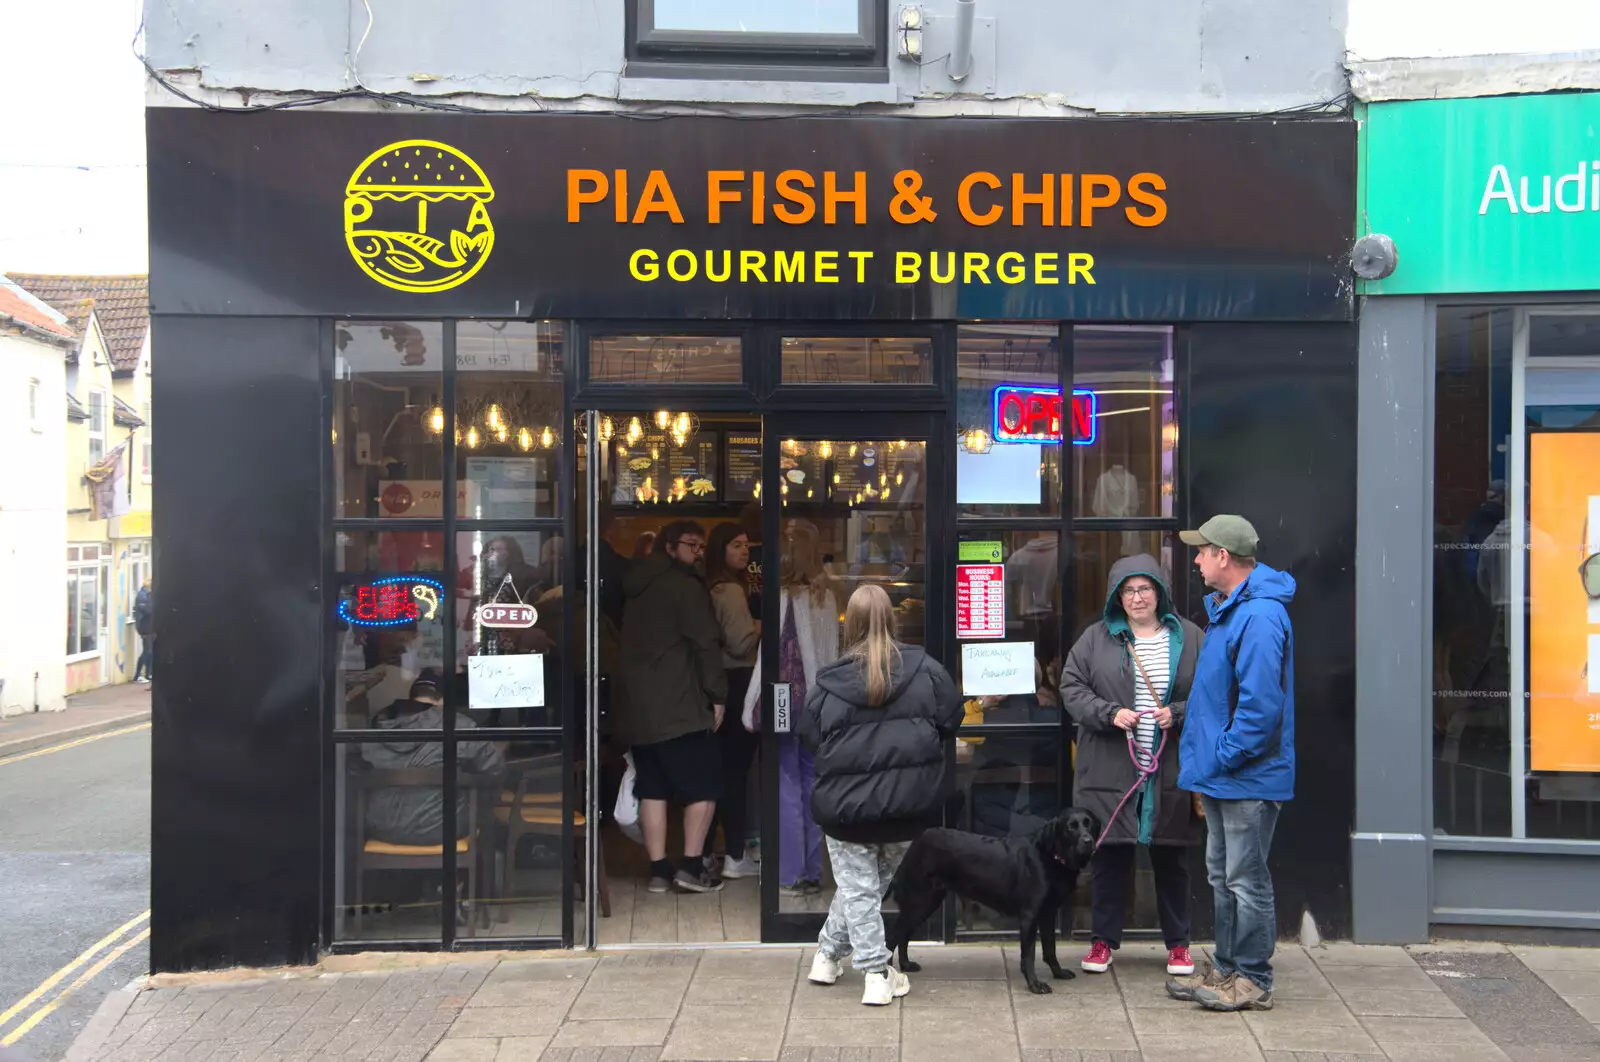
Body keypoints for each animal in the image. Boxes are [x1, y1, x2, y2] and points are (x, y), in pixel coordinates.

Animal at [889, 809, 1100, 991]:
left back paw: (905, 965)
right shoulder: (1029, 916)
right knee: (894, 934)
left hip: (927, 902)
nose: (1088, 841)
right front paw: (1034, 985)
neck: (1050, 856)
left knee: (904, 933)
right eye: (1071, 827)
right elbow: (1029, 955)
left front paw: (1058, 972)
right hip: (921, 901)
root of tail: (916, 841)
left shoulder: (1048, 912)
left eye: (1089, 824)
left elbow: (1050, 949)